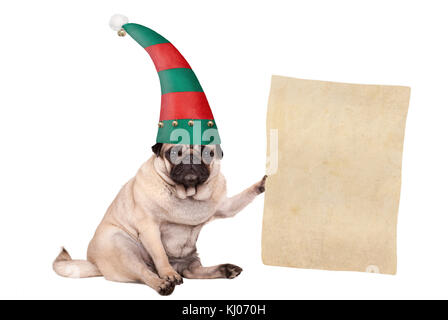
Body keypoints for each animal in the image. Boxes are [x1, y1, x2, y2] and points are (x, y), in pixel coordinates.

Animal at [53, 142, 266, 296]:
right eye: (174, 153)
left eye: (208, 153)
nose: (190, 158)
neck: (187, 194)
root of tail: (95, 263)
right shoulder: (149, 228)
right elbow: (160, 255)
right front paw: (168, 274)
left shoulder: (225, 207)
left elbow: (242, 198)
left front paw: (262, 184)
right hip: (122, 248)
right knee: (144, 273)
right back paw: (163, 283)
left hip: (190, 257)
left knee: (192, 272)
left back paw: (226, 269)